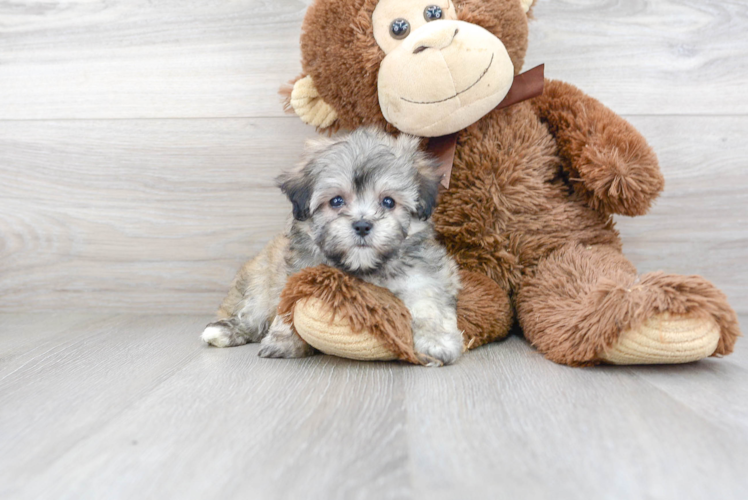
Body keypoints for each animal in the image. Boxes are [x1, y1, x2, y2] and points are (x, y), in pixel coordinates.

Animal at [202, 127, 464, 366]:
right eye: (336, 201)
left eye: (388, 202)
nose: (362, 225)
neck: (363, 268)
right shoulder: (298, 275)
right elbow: (288, 308)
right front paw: (285, 341)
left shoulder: (424, 275)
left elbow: (429, 304)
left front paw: (436, 342)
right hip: (259, 284)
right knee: (252, 314)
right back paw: (224, 331)